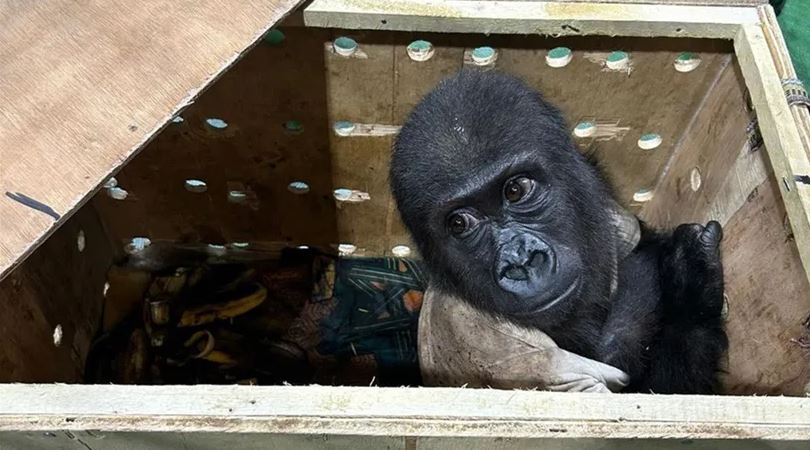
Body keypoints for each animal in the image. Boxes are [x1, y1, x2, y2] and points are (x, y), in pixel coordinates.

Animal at [390, 69, 724, 394]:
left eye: (515, 190)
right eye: (460, 223)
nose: (521, 260)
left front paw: (690, 279)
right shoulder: (498, 347)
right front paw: (689, 287)